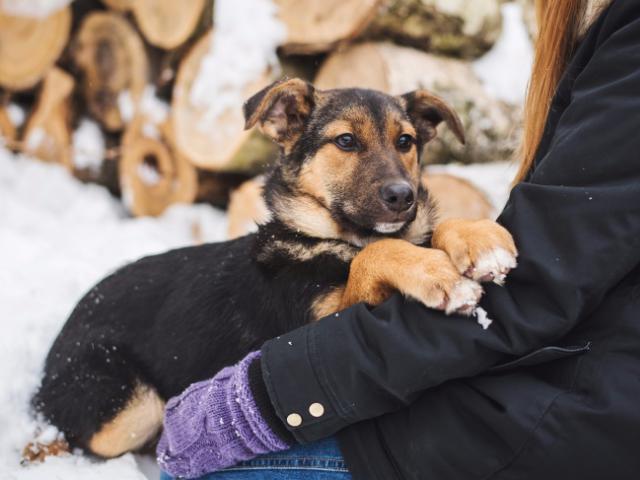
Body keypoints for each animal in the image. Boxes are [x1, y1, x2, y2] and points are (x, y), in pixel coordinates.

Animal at [31, 79, 520, 462]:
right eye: (346, 141)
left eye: (406, 142)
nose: (404, 197)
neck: (333, 237)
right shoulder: (315, 325)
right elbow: (376, 254)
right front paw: (436, 273)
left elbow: (422, 233)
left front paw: (478, 236)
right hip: (130, 407)